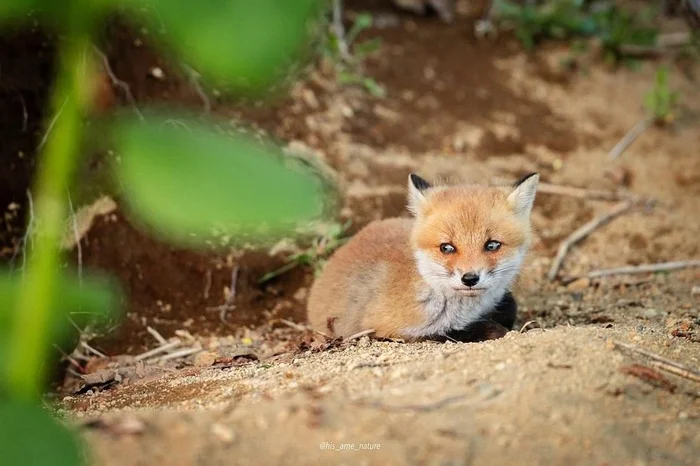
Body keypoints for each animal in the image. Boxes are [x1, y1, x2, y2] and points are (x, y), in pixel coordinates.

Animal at [304, 171, 540, 342]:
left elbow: (510, 307)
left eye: (492, 245)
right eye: (446, 247)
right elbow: (449, 332)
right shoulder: (387, 329)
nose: (470, 278)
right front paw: (492, 329)